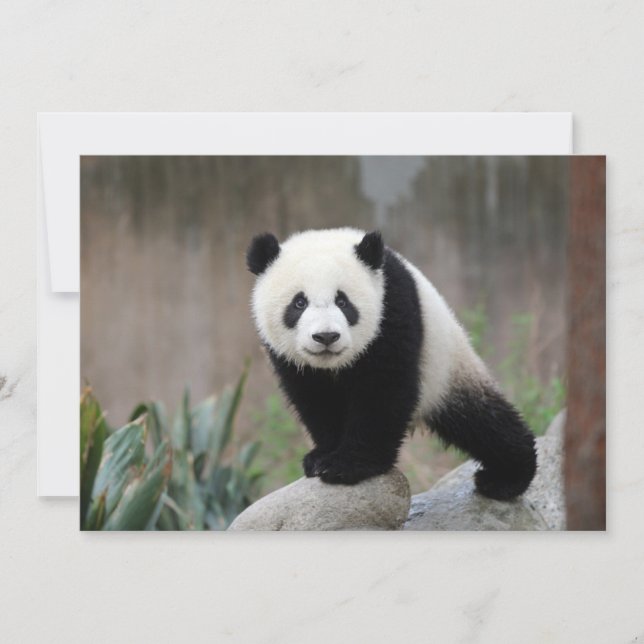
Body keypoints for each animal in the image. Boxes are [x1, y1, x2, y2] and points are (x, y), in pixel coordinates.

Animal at [246, 228, 537, 501]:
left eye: (343, 301)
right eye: (299, 303)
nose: (326, 336)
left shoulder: (392, 308)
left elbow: (384, 390)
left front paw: (348, 465)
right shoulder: (292, 360)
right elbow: (315, 399)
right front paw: (321, 457)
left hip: (447, 368)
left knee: (483, 421)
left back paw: (505, 478)